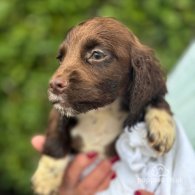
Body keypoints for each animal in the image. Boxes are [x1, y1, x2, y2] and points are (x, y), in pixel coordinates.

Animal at [31, 17, 175, 195]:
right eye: (60, 59)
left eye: (97, 54)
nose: (53, 85)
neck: (101, 111)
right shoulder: (59, 112)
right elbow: (55, 137)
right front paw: (46, 177)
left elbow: (155, 99)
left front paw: (163, 129)